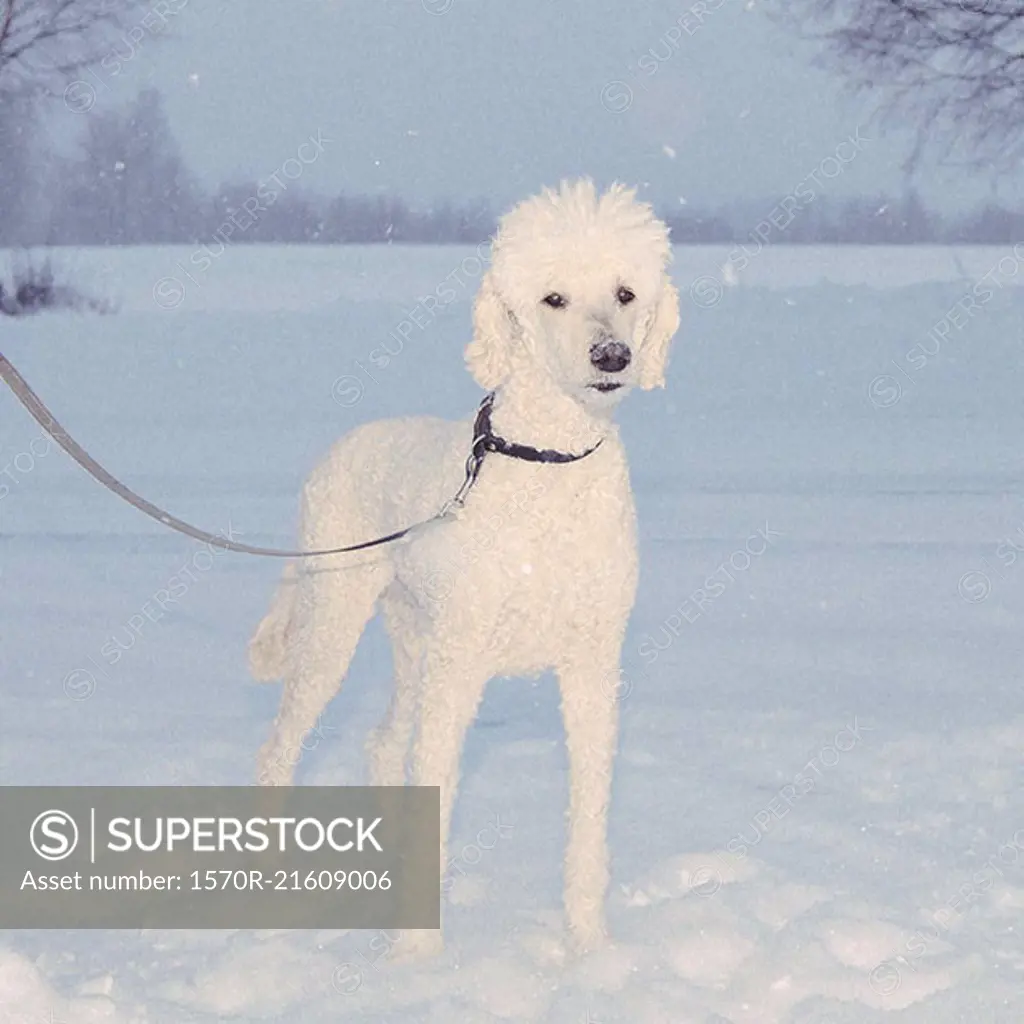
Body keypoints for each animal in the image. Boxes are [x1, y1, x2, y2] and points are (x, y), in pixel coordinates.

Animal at [248, 180, 679, 954]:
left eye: (626, 292)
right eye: (553, 298)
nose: (612, 356)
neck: (548, 464)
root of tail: (342, 446)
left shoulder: (593, 661)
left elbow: (589, 814)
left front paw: (589, 947)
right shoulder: (462, 663)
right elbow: (441, 780)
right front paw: (416, 959)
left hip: (415, 637)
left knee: (384, 743)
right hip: (336, 622)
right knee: (281, 748)